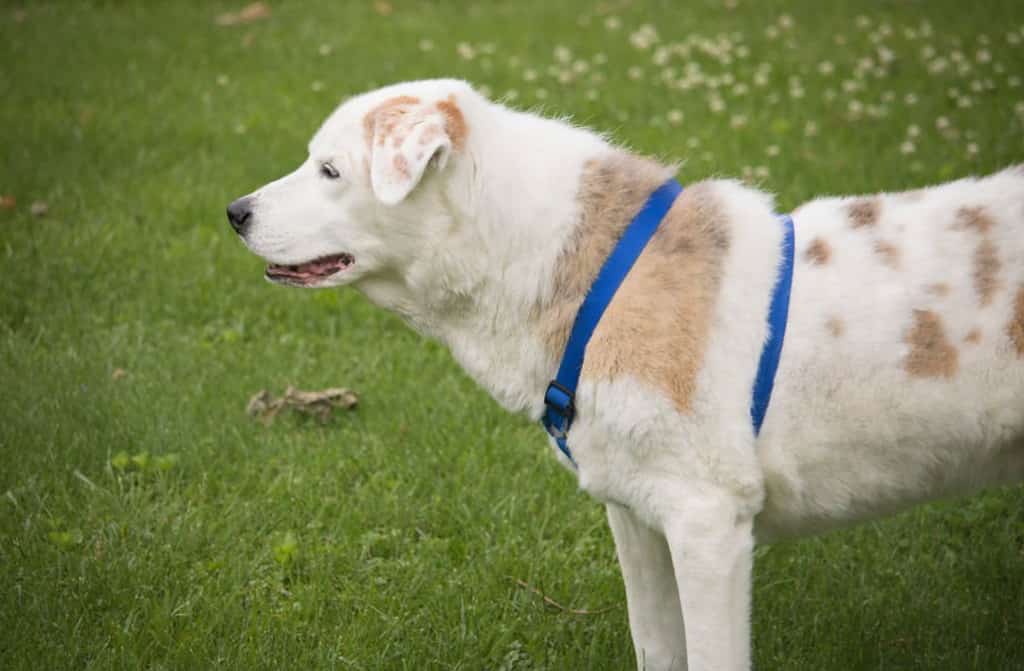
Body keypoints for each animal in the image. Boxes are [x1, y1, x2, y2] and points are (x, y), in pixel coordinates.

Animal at [226, 79, 1024, 671]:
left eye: (330, 171)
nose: (235, 211)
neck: (600, 285)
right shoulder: (637, 517)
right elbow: (656, 647)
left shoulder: (708, 526)